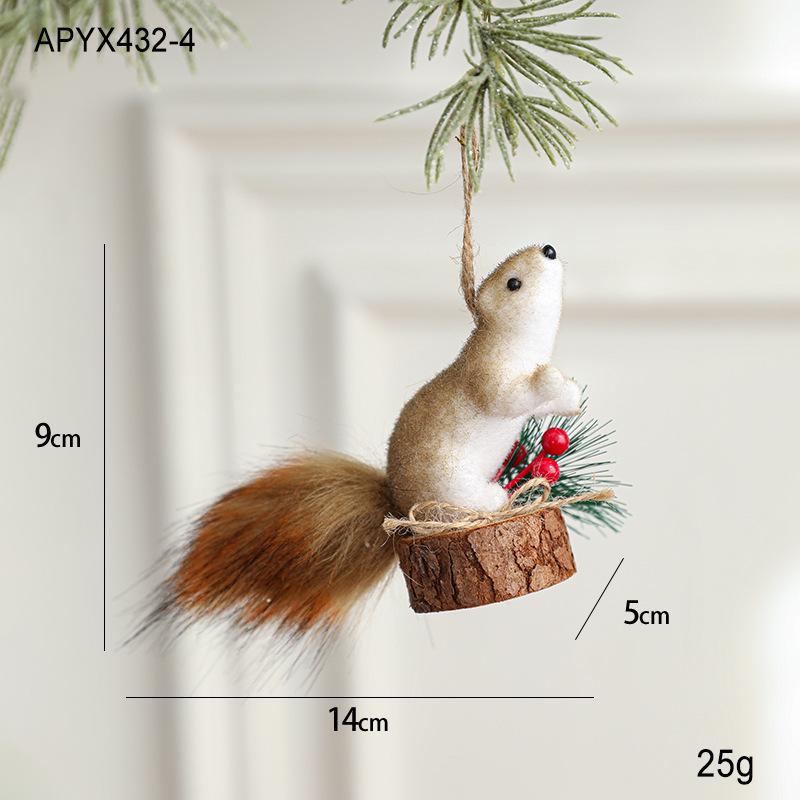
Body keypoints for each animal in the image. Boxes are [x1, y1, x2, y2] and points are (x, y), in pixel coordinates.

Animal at [154, 244, 580, 638]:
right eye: (513, 283)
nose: (548, 248)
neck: (516, 351)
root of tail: (394, 498)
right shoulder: (487, 376)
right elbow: (508, 398)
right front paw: (550, 378)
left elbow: (544, 406)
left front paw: (570, 394)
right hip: (450, 483)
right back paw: (495, 498)